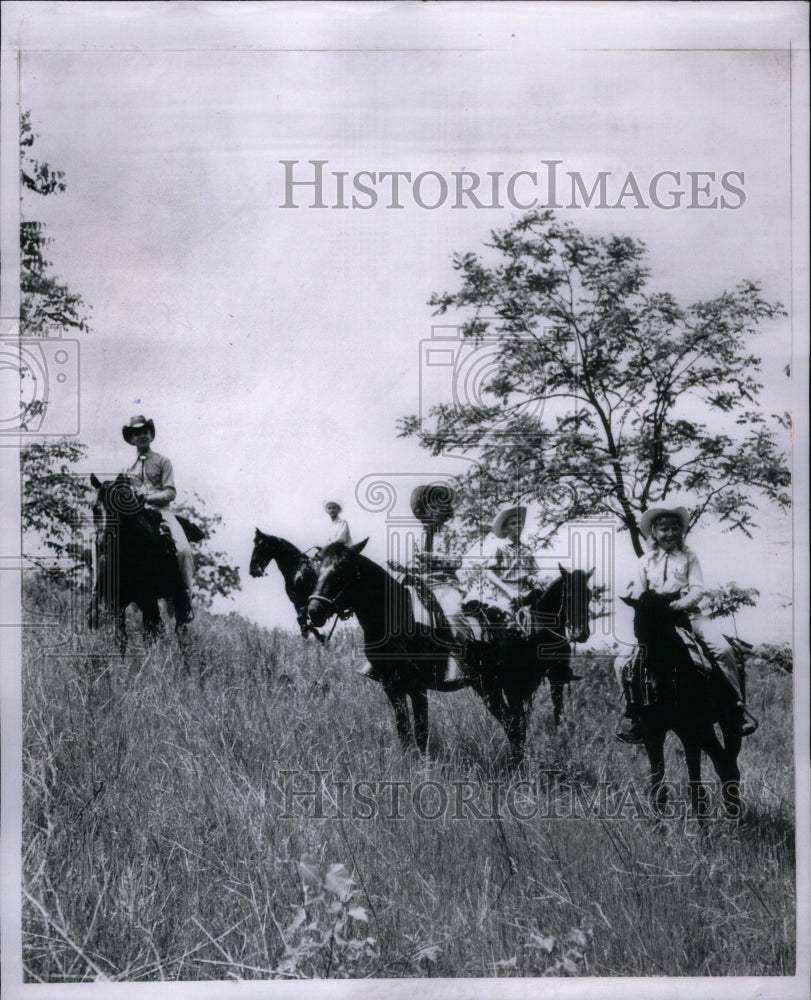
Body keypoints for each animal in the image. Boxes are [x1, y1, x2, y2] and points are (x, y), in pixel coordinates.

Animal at [88, 474, 195, 648]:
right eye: (94, 508)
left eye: (116, 509)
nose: (103, 543)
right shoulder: (116, 603)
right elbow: (121, 639)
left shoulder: (148, 600)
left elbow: (149, 637)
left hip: (175, 599)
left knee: (180, 631)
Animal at [308, 540, 592, 764]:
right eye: (317, 570)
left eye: (342, 571)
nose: (314, 611)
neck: (397, 620)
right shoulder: (392, 686)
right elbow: (404, 730)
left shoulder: (417, 686)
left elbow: (421, 731)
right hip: (494, 688)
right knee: (514, 725)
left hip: (513, 687)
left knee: (516, 726)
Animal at [620, 588, 744, 816]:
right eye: (638, 634)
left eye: (665, 631)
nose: (654, 688)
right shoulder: (652, 733)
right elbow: (658, 789)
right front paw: (658, 825)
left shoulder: (691, 733)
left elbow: (696, 789)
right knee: (724, 763)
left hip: (722, 727)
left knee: (728, 767)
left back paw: (735, 817)